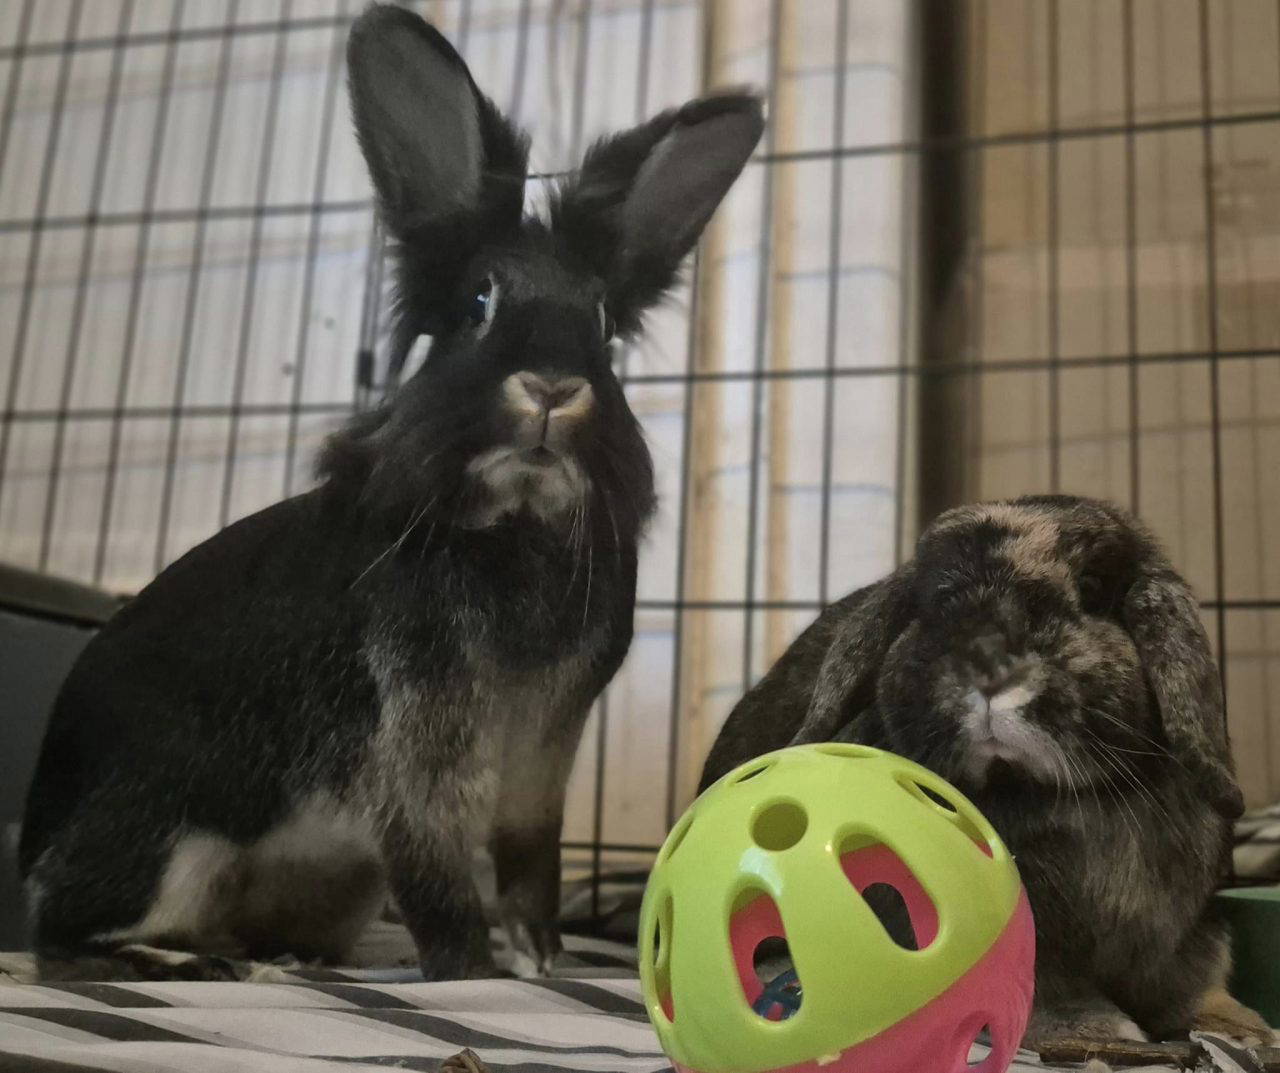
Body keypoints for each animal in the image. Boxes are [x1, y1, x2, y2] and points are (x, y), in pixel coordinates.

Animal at [19, 3, 763, 983]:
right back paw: (196, 964)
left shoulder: (544, 753)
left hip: (331, 887)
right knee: (68, 938)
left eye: (602, 321)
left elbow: (529, 860)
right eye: (480, 302)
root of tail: (31, 851)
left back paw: (281, 959)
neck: (516, 522)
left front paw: (543, 959)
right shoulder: (418, 746)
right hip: (166, 846)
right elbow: (438, 873)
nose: (553, 387)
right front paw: (475, 973)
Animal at [701, 494, 1273, 1045]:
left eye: (1092, 589)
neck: (1032, 792)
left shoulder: (1187, 931)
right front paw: (1094, 1028)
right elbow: (1040, 984)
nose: (988, 661)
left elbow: (1200, 980)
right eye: (933, 601)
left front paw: (1242, 1029)